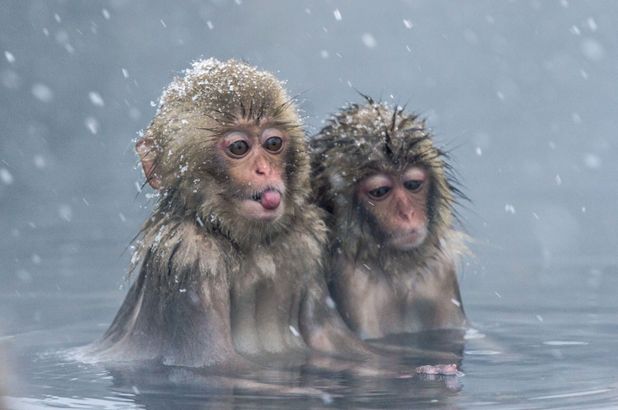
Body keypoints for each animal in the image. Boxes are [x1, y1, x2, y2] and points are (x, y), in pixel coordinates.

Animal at [86, 59, 390, 370]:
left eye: (273, 143)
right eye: (239, 147)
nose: (264, 170)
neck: (250, 247)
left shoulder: (306, 246)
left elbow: (331, 337)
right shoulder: (191, 258)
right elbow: (213, 362)